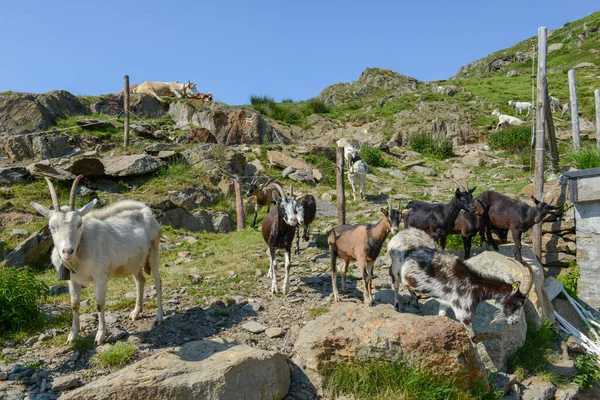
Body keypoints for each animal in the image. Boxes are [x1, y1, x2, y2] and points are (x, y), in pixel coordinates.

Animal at [31, 176, 164, 344]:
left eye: (79, 224)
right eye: (51, 227)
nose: (67, 251)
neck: (79, 252)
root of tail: (145, 209)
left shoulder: (100, 276)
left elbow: (99, 304)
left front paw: (100, 336)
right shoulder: (72, 280)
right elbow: (74, 305)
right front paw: (72, 337)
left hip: (153, 252)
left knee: (157, 282)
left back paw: (159, 317)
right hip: (134, 261)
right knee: (140, 280)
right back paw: (135, 313)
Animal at [390, 228, 536, 338]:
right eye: (519, 302)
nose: (515, 322)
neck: (473, 284)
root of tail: (398, 235)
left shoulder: (446, 302)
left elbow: (441, 315)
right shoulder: (463, 313)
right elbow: (472, 336)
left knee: (405, 283)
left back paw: (414, 300)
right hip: (396, 266)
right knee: (395, 284)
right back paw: (399, 306)